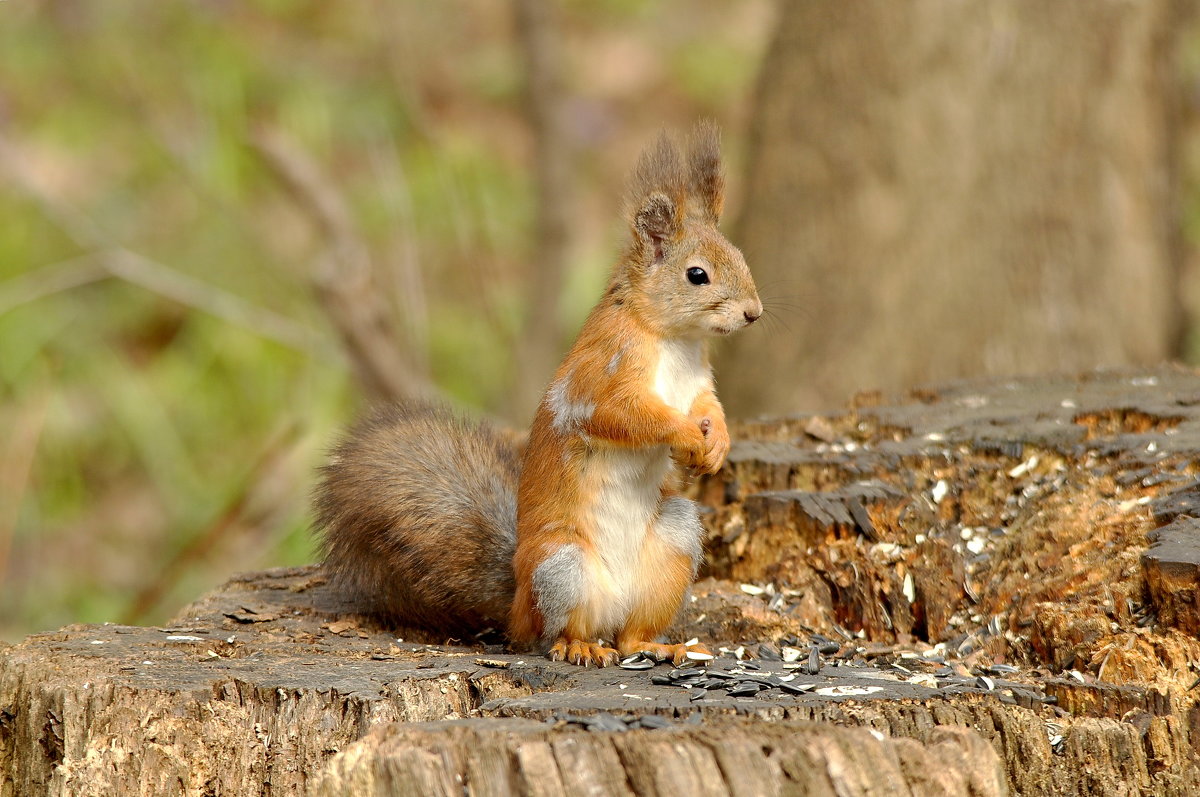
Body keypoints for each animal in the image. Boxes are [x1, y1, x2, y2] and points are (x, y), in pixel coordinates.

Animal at [309, 123, 758, 667]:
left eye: (740, 257)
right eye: (697, 275)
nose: (754, 313)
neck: (673, 339)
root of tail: (518, 600)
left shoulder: (697, 381)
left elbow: (709, 407)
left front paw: (717, 443)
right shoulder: (599, 376)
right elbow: (624, 416)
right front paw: (687, 436)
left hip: (672, 540)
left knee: (629, 634)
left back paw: (655, 644)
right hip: (561, 566)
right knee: (555, 633)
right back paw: (579, 646)